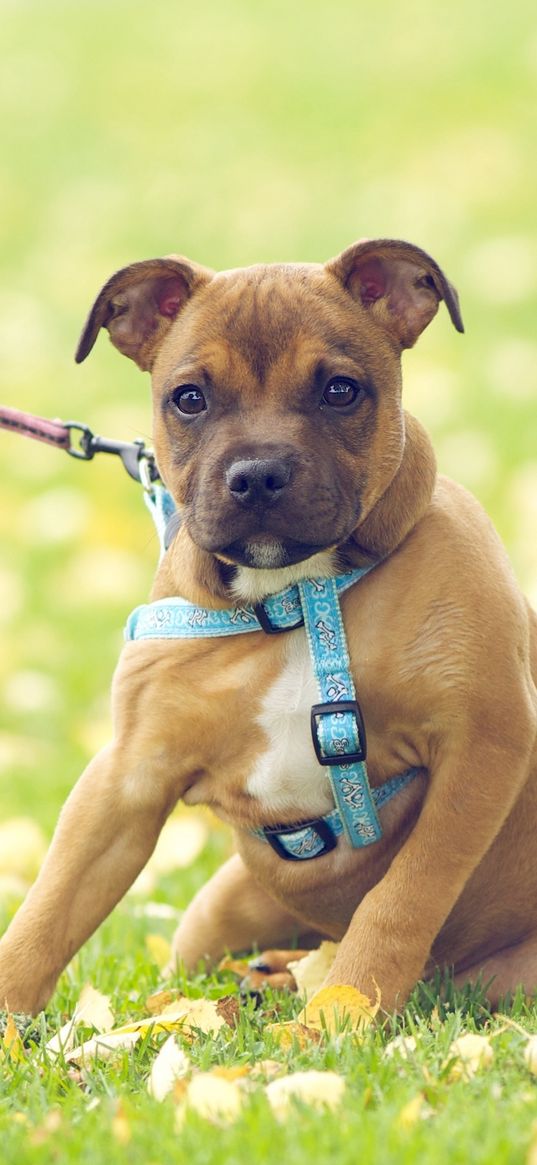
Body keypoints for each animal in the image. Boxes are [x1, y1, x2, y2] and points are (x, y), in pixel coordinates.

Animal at [1, 234, 535, 1011]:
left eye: (340, 390)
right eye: (188, 400)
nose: (256, 475)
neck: (295, 594)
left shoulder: (480, 745)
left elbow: (400, 900)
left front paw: (339, 1016)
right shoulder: (127, 778)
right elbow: (47, 912)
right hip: (216, 911)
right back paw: (264, 979)